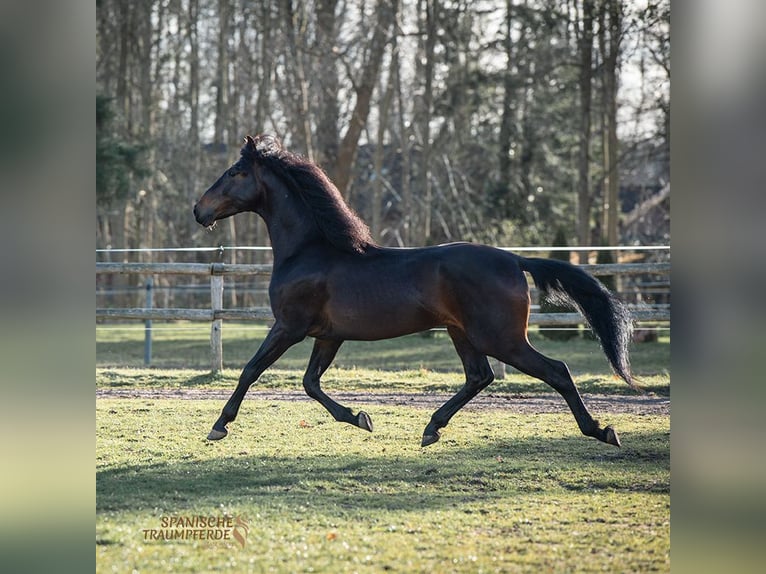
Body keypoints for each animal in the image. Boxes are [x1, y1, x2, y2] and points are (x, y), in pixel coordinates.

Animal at [194, 135, 636, 450]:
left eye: (235, 172)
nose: (199, 211)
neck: (309, 250)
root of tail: (513, 259)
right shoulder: (328, 335)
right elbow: (310, 383)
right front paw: (360, 418)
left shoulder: (289, 326)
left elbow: (252, 370)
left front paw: (219, 426)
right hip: (463, 333)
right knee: (479, 376)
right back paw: (432, 428)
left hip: (501, 338)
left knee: (555, 371)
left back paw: (601, 431)